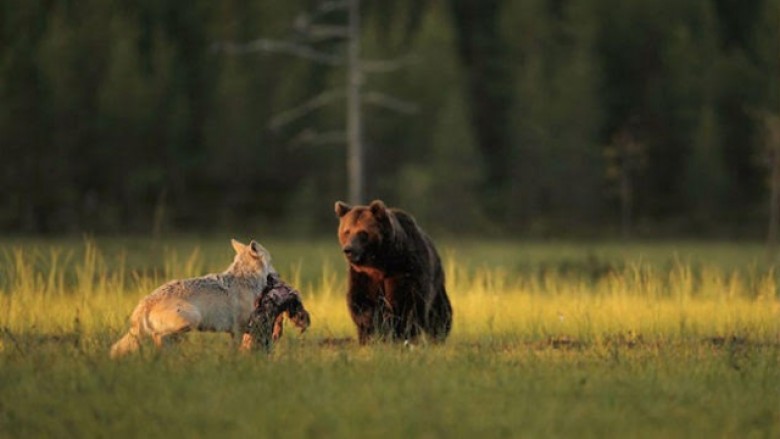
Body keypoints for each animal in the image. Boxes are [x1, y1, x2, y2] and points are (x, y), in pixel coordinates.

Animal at [334, 199, 450, 344]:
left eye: (362, 233)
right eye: (347, 231)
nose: (348, 250)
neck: (381, 263)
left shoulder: (404, 269)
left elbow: (407, 303)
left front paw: (399, 333)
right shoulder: (363, 275)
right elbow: (360, 301)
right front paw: (373, 329)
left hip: (436, 281)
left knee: (440, 312)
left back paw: (437, 335)